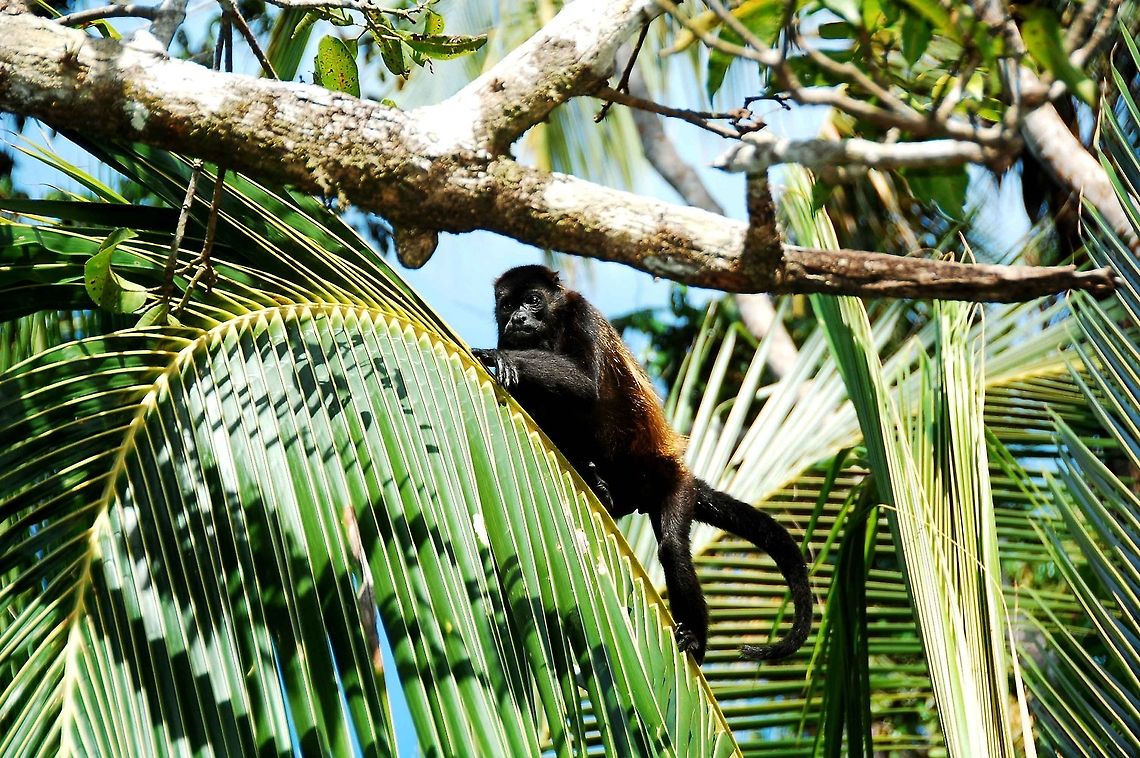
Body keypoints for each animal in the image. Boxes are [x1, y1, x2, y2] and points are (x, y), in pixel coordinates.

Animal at [473, 265, 812, 664]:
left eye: (532, 300)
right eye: (507, 305)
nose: (519, 318)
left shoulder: (581, 314)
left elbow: (585, 383)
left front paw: (499, 357)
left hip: (674, 484)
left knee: (673, 548)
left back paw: (695, 641)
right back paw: (596, 481)